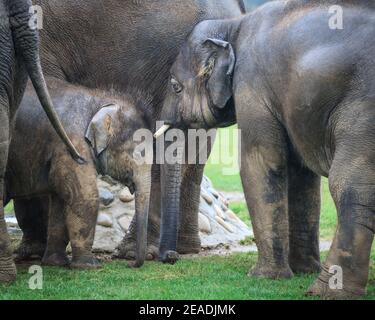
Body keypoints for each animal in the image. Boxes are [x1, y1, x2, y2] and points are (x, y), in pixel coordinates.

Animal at [6, 79, 153, 268]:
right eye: (135, 155)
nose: (129, 263)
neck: (100, 100)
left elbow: (61, 199)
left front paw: (56, 263)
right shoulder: (72, 145)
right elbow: (84, 196)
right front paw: (90, 265)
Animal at [159, 0, 375, 300]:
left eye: (175, 86)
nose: (171, 257)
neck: (233, 27)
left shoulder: (252, 86)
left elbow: (260, 162)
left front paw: (264, 276)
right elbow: (301, 175)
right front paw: (302, 269)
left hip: (363, 107)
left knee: (350, 185)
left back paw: (323, 291)